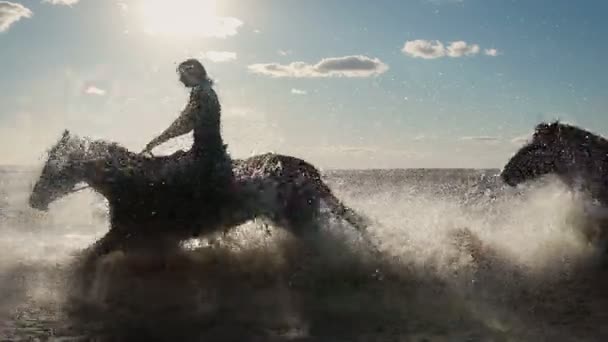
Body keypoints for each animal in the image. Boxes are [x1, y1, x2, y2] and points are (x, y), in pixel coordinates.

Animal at [28, 131, 372, 256]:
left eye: (53, 165)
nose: (34, 199)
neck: (132, 181)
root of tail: (306, 169)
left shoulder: (126, 233)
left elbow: (88, 257)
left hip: (300, 220)